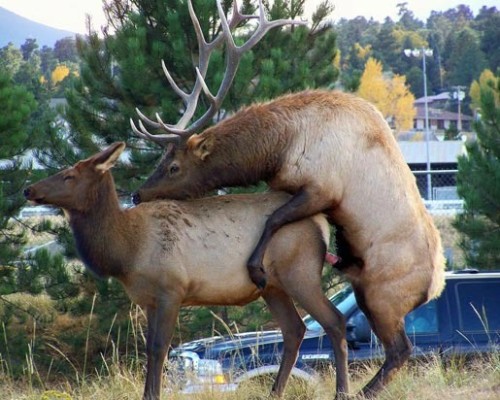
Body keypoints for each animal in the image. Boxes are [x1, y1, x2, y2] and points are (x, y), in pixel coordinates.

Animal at [24, 143, 352, 400]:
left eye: (69, 175)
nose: (29, 189)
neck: (127, 251)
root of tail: (321, 222)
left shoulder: (171, 289)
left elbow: (160, 348)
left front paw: (153, 395)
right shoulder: (148, 300)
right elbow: (149, 348)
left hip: (300, 273)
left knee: (334, 320)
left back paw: (341, 391)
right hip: (271, 286)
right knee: (294, 329)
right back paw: (274, 392)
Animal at [129, 3, 446, 400]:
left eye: (173, 166)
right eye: (162, 161)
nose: (138, 193)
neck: (279, 145)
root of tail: (434, 287)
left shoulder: (322, 188)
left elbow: (274, 219)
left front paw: (255, 268)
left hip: (381, 296)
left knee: (399, 349)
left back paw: (357, 390)